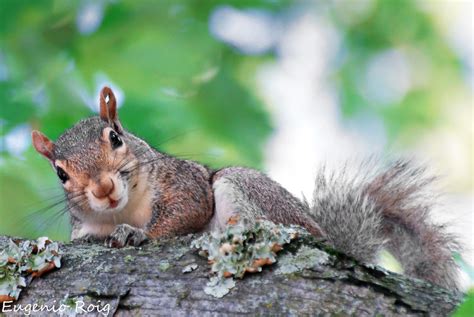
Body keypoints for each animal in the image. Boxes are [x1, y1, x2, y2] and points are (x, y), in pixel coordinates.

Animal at [30, 86, 460, 288]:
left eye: (115, 137)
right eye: (61, 174)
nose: (103, 188)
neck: (125, 208)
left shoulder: (184, 182)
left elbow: (185, 210)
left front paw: (138, 234)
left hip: (243, 188)